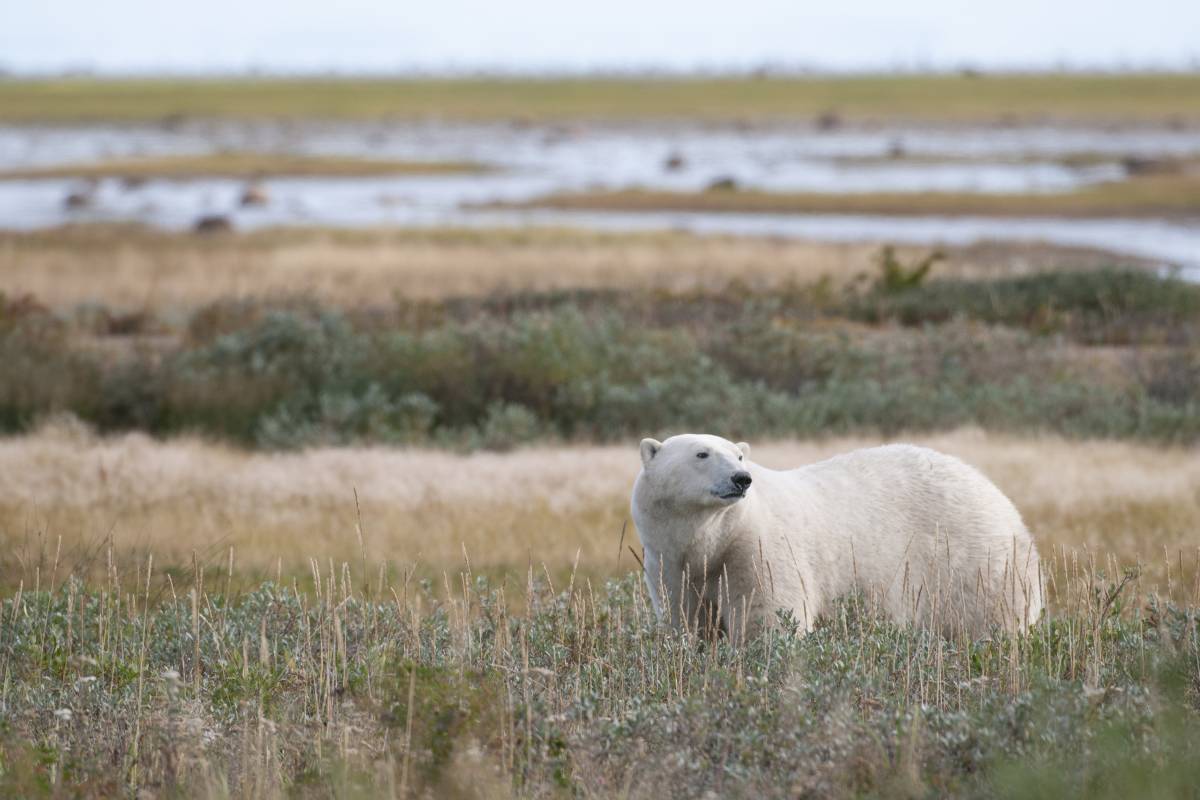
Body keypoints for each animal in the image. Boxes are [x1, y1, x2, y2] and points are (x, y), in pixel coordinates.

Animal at [628, 434, 1041, 642]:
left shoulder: (756, 551)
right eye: (702, 453)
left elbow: (769, 615)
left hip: (973, 561)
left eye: (739, 456)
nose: (740, 479)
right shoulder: (672, 564)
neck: (713, 539)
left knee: (989, 616)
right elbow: (686, 618)